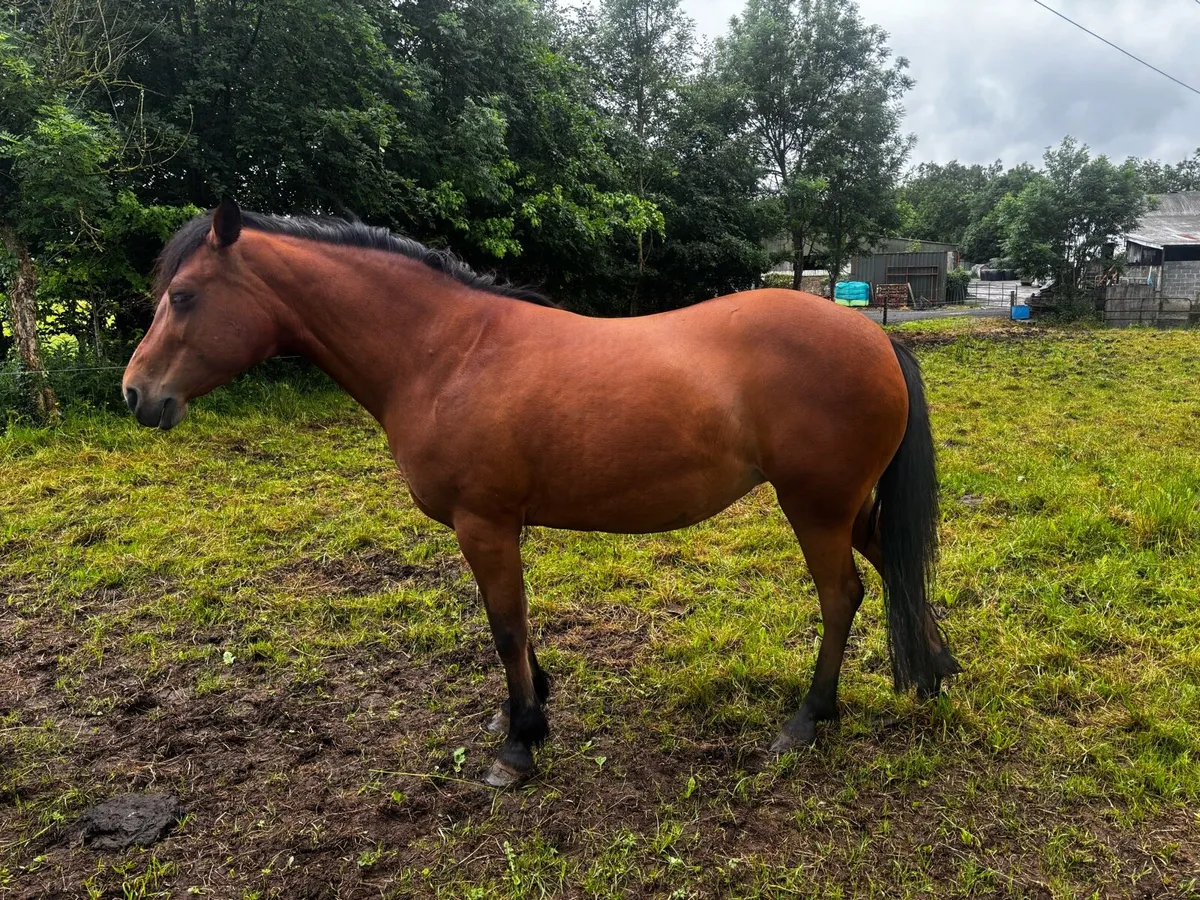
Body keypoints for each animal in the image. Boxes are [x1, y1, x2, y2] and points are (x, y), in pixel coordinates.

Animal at [122, 198, 960, 787]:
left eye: (185, 296)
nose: (137, 393)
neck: (448, 353)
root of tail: (876, 335)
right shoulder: (502, 526)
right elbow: (516, 624)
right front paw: (533, 705)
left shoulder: (483, 523)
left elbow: (504, 625)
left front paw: (519, 740)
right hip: (847, 508)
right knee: (893, 567)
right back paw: (934, 670)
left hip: (815, 507)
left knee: (842, 596)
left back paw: (808, 720)